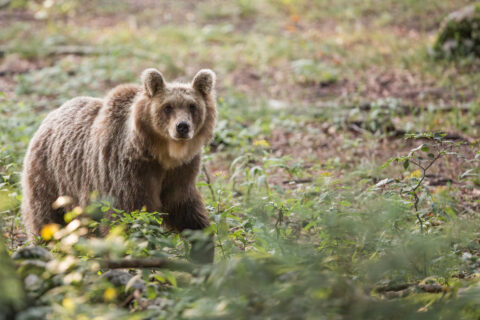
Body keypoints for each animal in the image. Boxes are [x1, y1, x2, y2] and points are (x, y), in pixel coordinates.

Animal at [21, 68, 217, 262]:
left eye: (192, 106)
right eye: (167, 107)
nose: (182, 126)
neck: (161, 155)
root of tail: (51, 114)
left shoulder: (180, 172)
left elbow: (185, 208)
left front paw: (203, 250)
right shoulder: (128, 170)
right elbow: (129, 216)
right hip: (50, 176)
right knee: (47, 218)